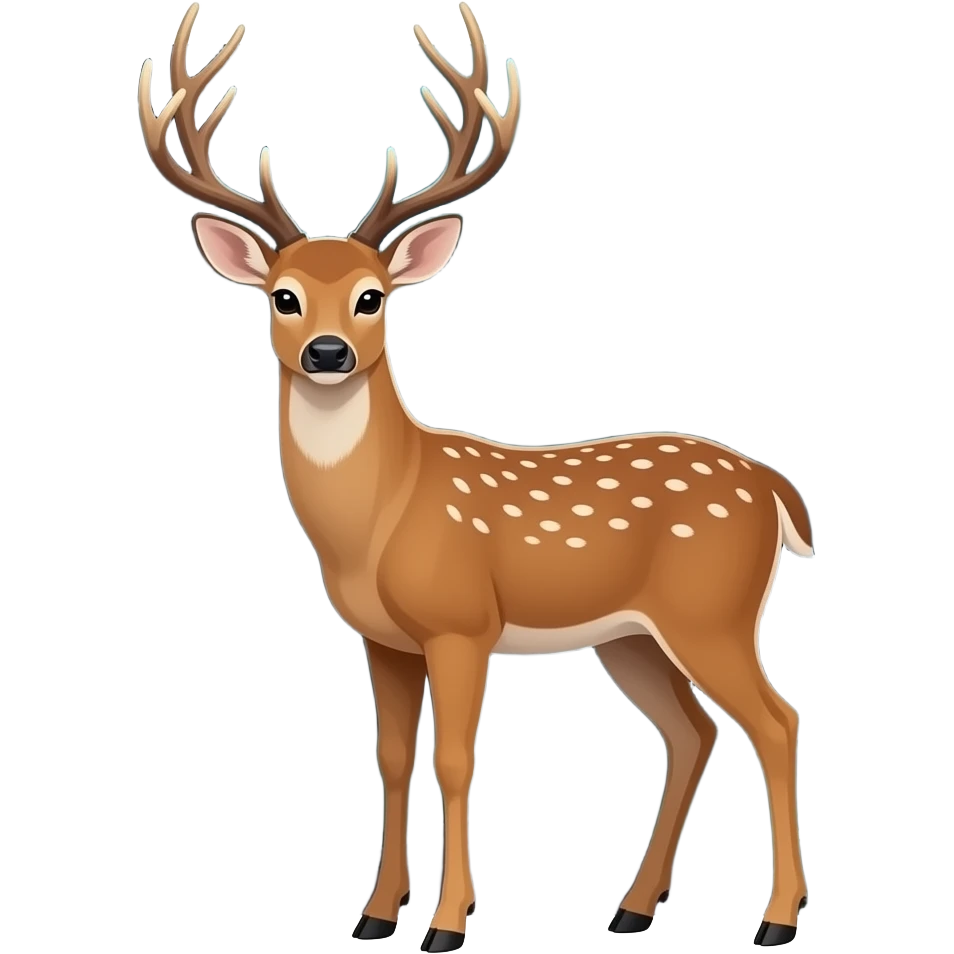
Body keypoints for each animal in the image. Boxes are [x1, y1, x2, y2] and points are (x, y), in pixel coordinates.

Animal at [138, 3, 813, 950]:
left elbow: (456, 761)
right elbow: (390, 759)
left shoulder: (462, 623)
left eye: (374, 297)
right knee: (691, 733)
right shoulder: (381, 638)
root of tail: (776, 489)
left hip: (711, 609)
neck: (377, 521)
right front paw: (375, 917)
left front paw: (448, 923)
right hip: (631, 636)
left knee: (776, 722)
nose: (327, 353)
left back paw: (777, 921)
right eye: (282, 296)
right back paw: (632, 908)